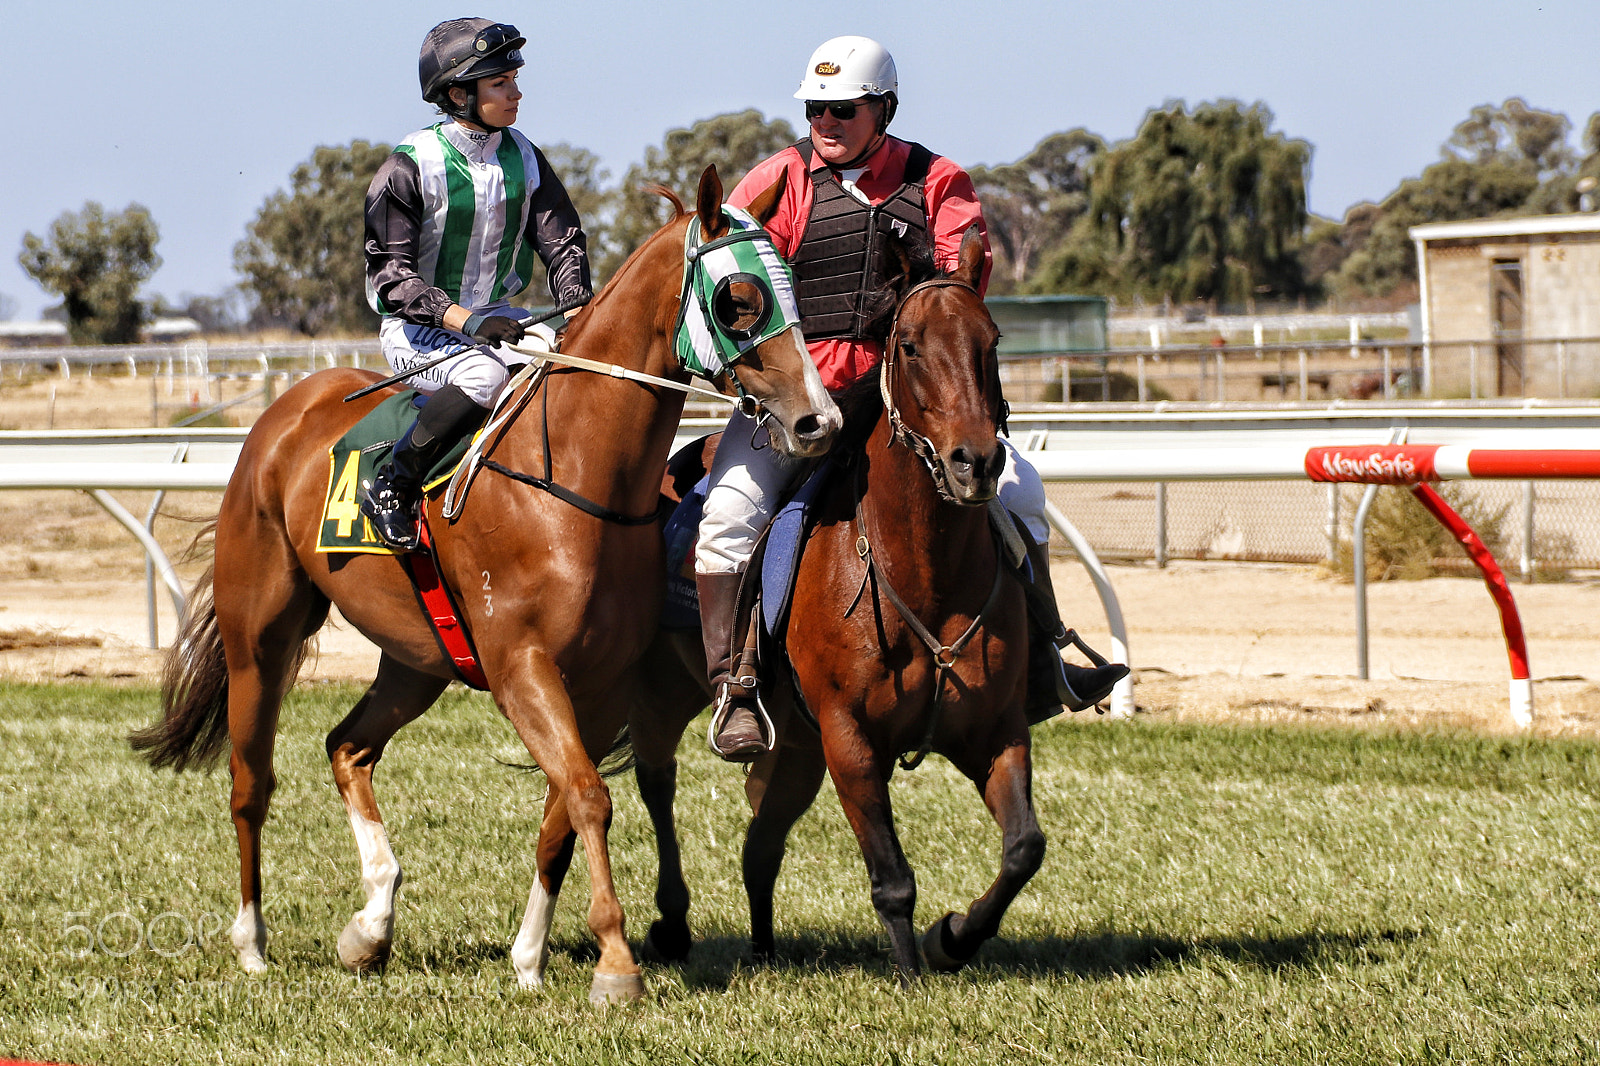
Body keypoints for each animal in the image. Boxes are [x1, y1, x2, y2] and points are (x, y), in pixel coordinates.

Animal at [129, 165, 843, 1005]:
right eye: (740, 298)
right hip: (260, 639)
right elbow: (590, 796)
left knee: (347, 747)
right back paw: (251, 942)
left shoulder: (601, 683)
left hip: (416, 659)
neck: (575, 481)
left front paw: (531, 958)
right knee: (251, 783)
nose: (819, 421)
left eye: (794, 284)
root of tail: (285, 412)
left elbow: (563, 814)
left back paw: (371, 925)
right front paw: (616, 964)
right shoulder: (521, 667)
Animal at [621, 224, 1043, 983]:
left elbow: (1024, 848)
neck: (924, 578)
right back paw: (671, 923)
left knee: (758, 848)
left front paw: (955, 936)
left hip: (793, 748)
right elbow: (893, 878)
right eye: (911, 345)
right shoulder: (850, 739)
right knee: (656, 782)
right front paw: (911, 975)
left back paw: (762, 951)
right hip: (664, 696)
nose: (975, 463)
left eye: (990, 341)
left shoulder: (996, 729)